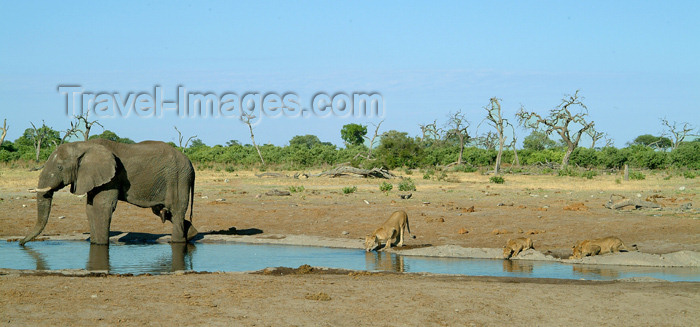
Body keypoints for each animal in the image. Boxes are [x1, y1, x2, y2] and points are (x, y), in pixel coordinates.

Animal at [19, 139, 198, 246]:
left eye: (60, 168)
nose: (21, 243)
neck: (83, 145)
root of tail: (191, 164)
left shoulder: (112, 177)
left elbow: (102, 207)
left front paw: (101, 245)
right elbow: (90, 208)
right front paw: (94, 243)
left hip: (179, 178)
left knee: (176, 211)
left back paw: (178, 242)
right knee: (163, 212)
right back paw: (191, 235)